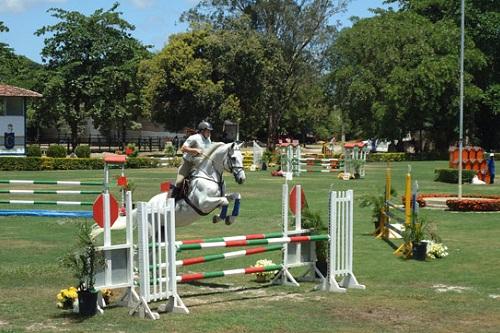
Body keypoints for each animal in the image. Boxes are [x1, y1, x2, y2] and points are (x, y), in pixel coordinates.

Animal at [93, 141, 246, 235]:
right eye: (233, 158)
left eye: (242, 158)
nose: (242, 179)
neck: (210, 175)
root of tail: (146, 205)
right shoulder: (204, 203)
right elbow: (224, 202)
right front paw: (219, 218)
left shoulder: (218, 198)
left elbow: (235, 196)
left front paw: (230, 218)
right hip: (151, 230)